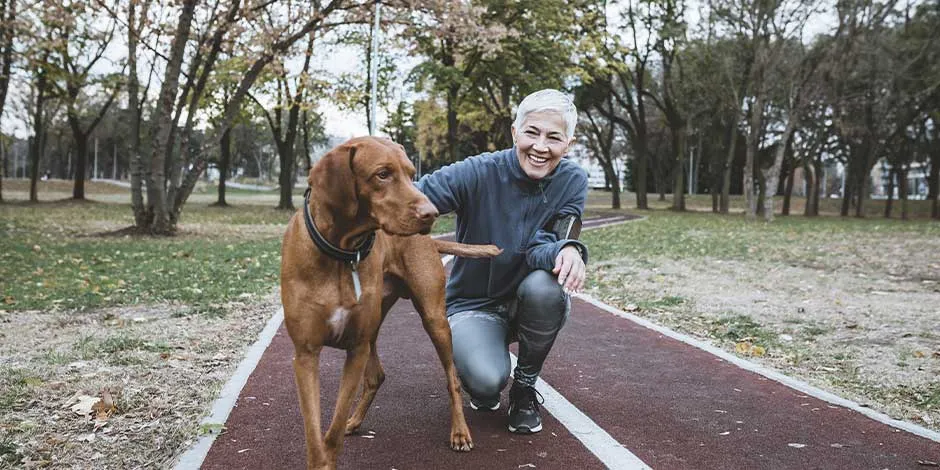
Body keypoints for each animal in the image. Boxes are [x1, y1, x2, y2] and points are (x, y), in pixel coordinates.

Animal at [280, 134, 500, 468]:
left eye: (411, 174)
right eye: (382, 174)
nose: (431, 213)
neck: (340, 253)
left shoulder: (356, 348)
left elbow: (332, 433)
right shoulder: (306, 354)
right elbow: (314, 435)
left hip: (434, 319)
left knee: (452, 378)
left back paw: (460, 433)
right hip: (374, 327)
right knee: (376, 376)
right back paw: (356, 421)